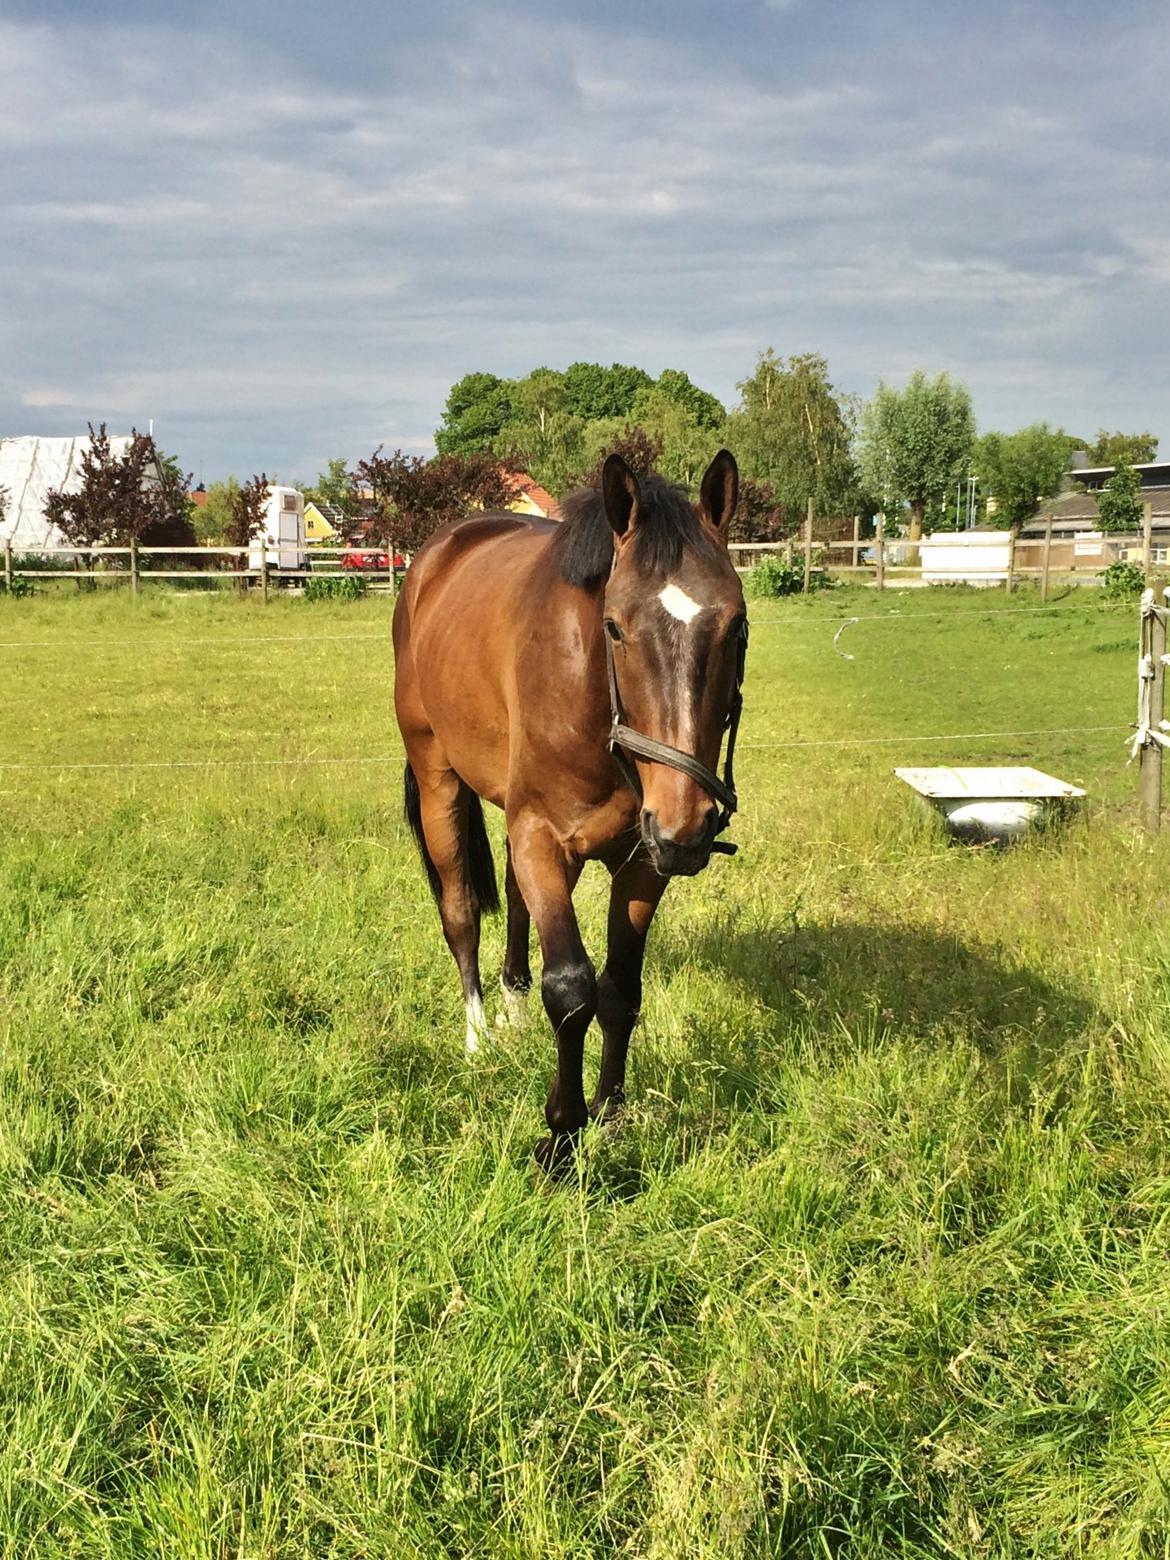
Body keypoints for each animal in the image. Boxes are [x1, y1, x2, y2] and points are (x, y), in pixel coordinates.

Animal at [394, 452, 751, 1173]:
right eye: (615, 625)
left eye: (736, 624)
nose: (688, 826)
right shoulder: (542, 837)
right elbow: (570, 987)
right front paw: (560, 1133)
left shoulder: (641, 862)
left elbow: (620, 990)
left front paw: (611, 1116)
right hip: (439, 778)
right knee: (461, 911)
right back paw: (479, 1039)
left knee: (513, 904)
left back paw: (512, 1013)